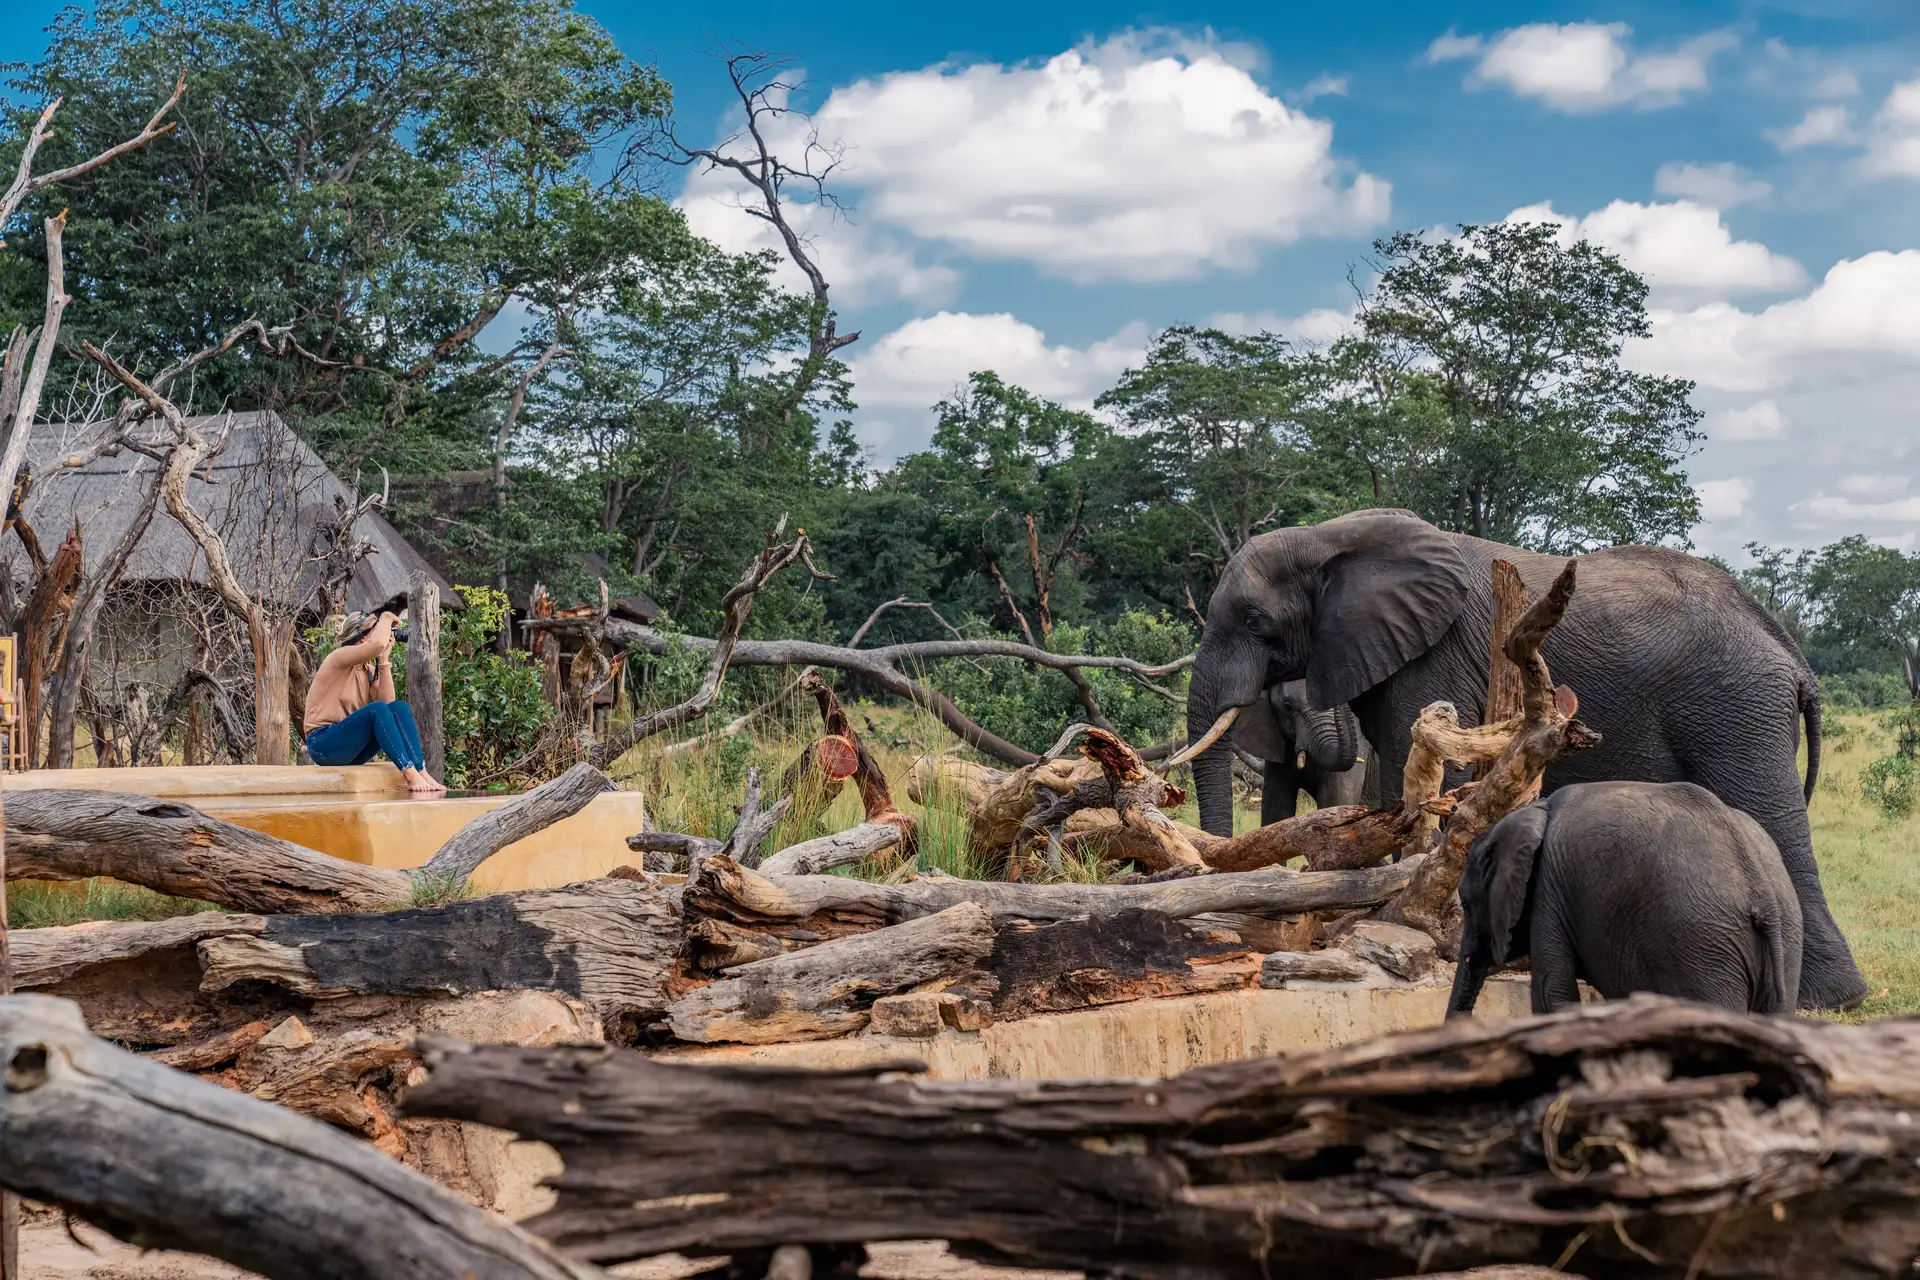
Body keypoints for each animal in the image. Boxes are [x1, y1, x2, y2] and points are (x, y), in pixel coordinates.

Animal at [1451, 782, 1797, 1020]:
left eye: (1466, 905)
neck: (1534, 809)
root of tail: (1760, 890)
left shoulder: (1548, 890)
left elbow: (1553, 993)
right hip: (1783, 940)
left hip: (1703, 943)